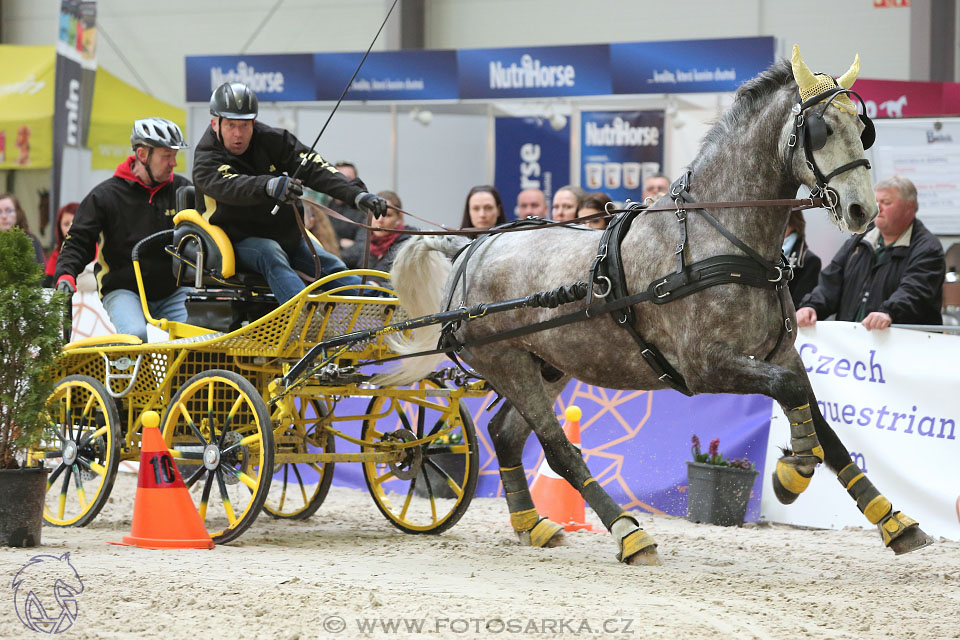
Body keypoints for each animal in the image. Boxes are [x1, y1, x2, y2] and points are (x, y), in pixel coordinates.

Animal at [380, 47, 928, 564]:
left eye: (863, 128)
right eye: (820, 128)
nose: (863, 210)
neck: (721, 239)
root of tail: (471, 248)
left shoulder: (780, 354)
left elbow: (821, 422)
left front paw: (893, 521)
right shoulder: (706, 366)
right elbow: (794, 397)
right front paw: (793, 470)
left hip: (548, 366)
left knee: (505, 434)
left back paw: (534, 525)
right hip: (507, 362)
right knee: (557, 449)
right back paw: (628, 533)